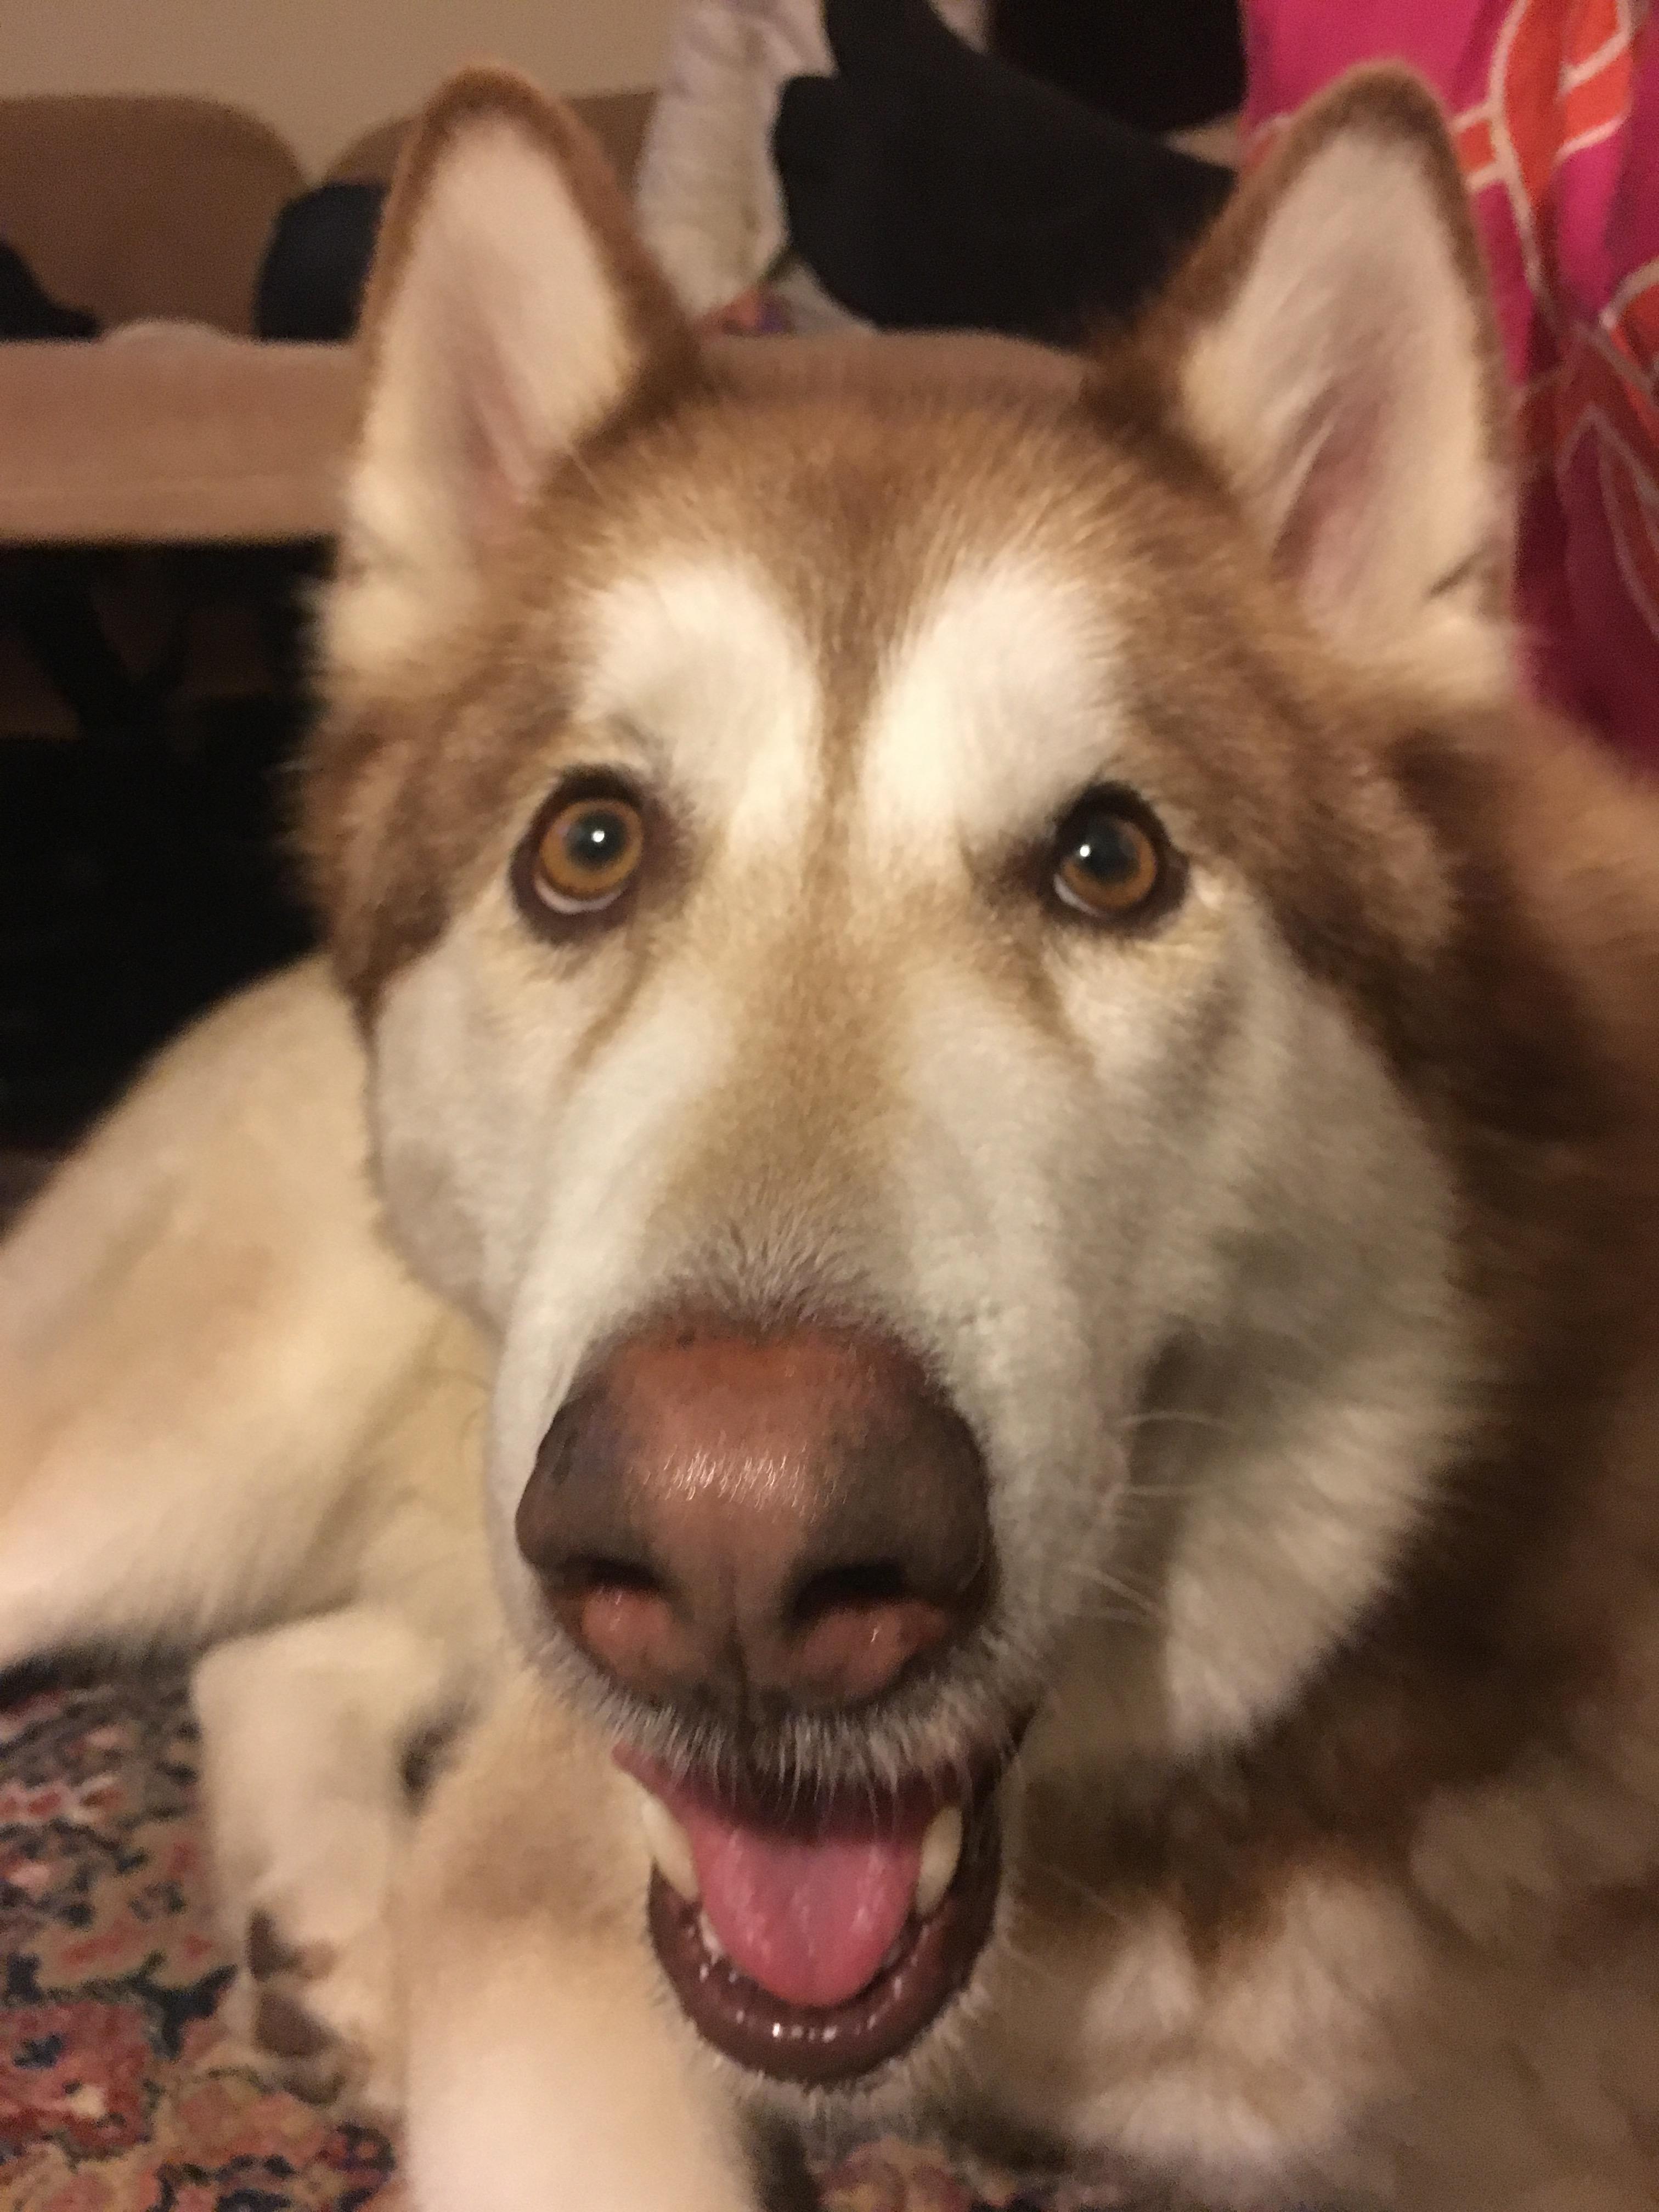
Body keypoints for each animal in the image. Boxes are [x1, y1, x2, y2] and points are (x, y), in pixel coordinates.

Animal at [6, 57, 1659, 2212]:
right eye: (587, 846)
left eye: (1110, 860)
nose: (736, 1549)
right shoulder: (552, 1892)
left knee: (280, 1655)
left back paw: (329, 1934)